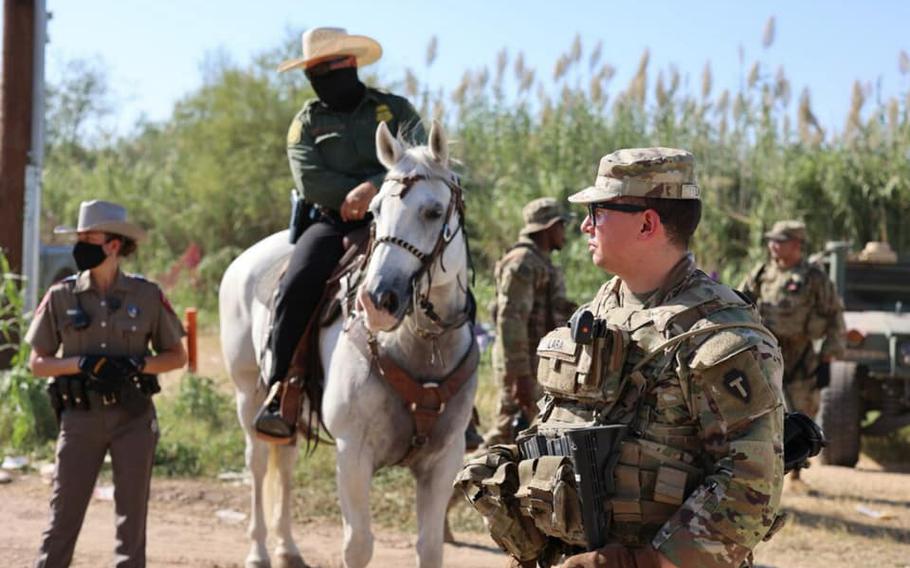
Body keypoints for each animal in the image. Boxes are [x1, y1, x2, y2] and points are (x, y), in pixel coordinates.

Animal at [221, 121, 478, 568]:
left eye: (432, 212)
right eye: (374, 210)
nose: (377, 300)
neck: (420, 347)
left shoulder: (443, 460)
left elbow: (430, 546)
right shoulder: (353, 454)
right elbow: (358, 545)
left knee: (285, 462)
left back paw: (287, 548)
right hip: (246, 392)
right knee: (257, 464)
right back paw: (258, 551)